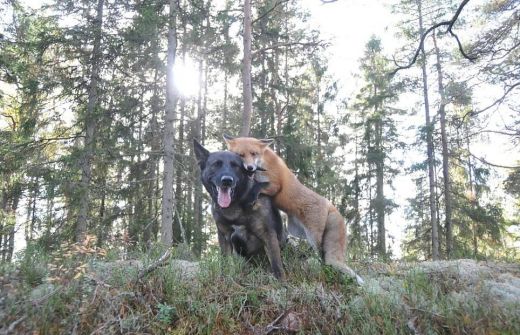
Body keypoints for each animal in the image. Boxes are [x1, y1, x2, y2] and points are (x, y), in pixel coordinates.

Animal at [193, 140, 286, 280]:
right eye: (216, 165)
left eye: (235, 166)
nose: (227, 180)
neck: (235, 204)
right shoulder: (224, 236)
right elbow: (225, 262)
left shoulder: (268, 234)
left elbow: (276, 265)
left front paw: (281, 282)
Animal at [223, 135, 362, 284]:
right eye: (240, 155)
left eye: (254, 153)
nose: (250, 168)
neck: (263, 164)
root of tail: (330, 204)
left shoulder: (275, 185)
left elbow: (258, 187)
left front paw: (251, 195)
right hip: (296, 231)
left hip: (314, 236)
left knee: (321, 254)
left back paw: (321, 267)